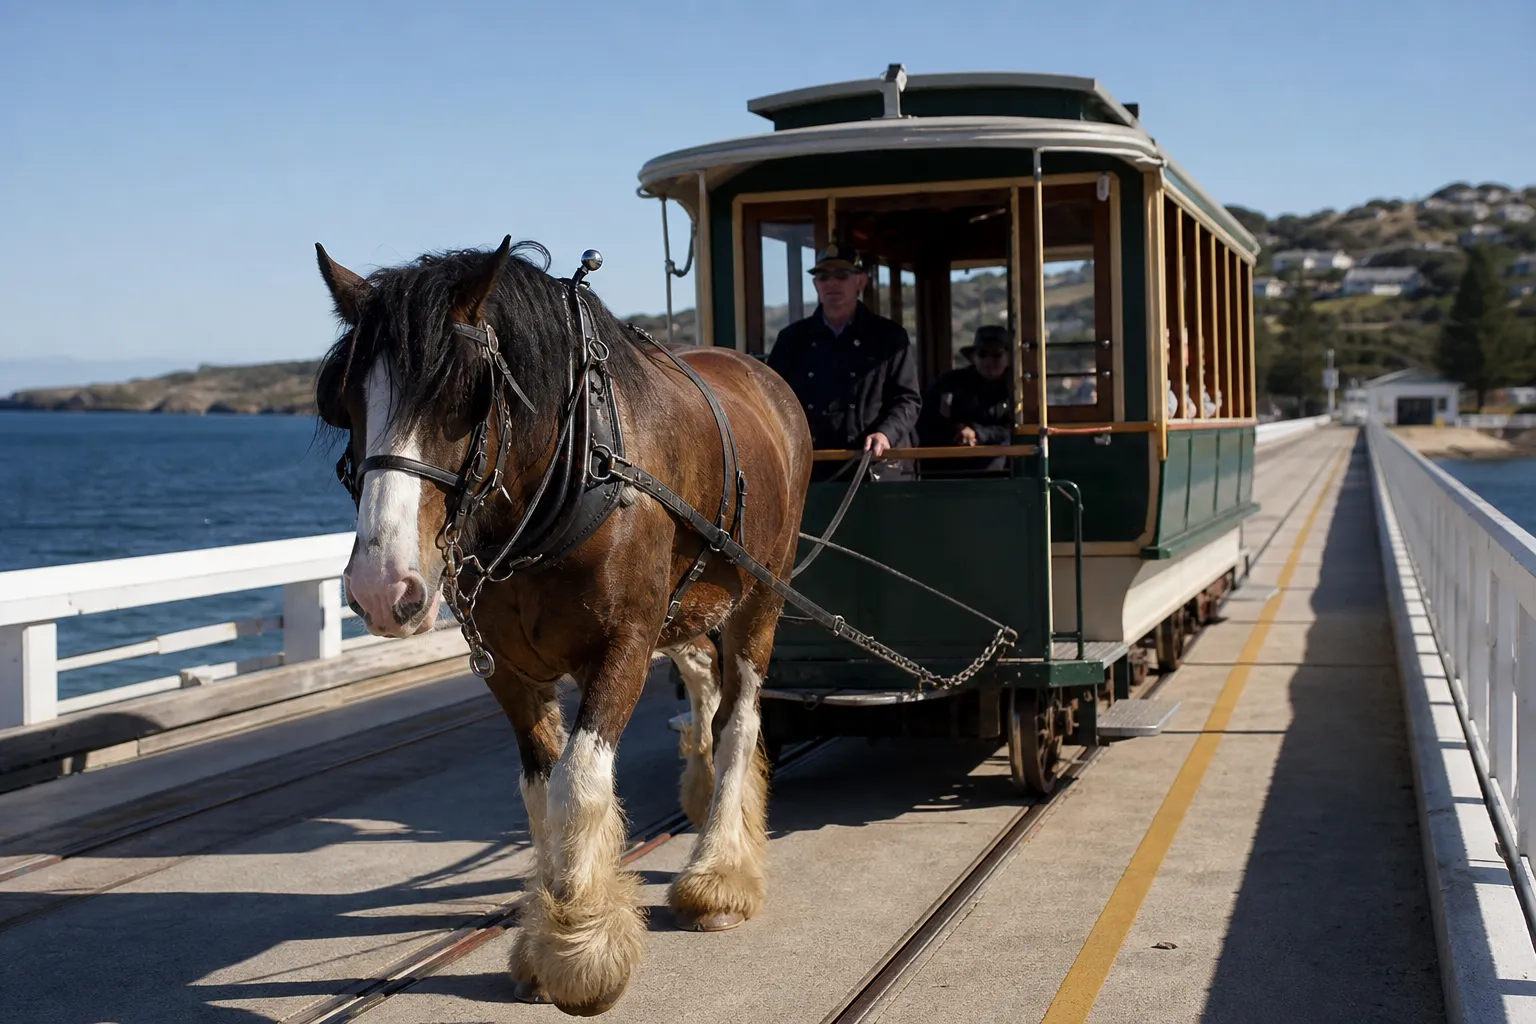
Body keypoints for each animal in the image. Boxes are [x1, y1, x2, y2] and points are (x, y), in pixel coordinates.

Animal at [312, 236, 812, 1016]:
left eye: (466, 395)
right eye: (346, 400)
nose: (380, 586)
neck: (571, 474)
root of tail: (760, 373)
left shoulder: (625, 644)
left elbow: (579, 782)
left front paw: (581, 951)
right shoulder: (509, 667)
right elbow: (540, 793)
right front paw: (550, 939)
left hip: (761, 594)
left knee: (740, 718)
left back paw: (720, 869)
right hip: (690, 607)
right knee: (703, 678)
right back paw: (699, 791)